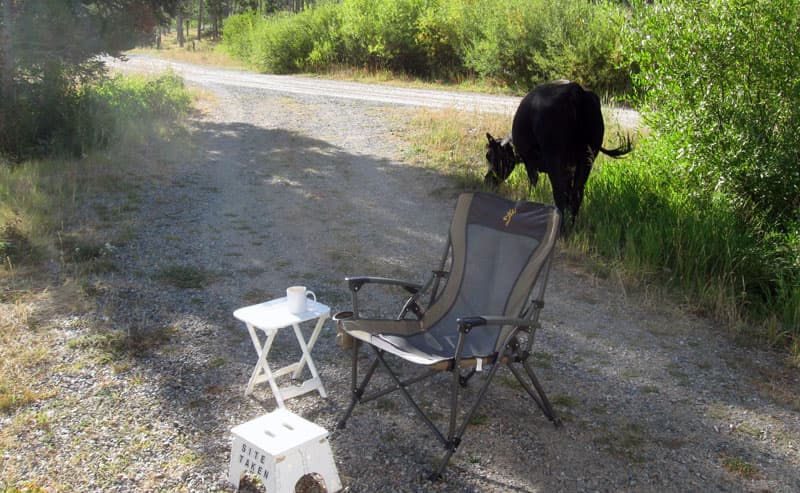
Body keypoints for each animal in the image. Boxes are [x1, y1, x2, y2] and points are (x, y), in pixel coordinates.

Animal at [488, 80, 632, 223]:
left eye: (490, 156)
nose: (487, 180)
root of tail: (574, 90)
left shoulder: (529, 161)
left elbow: (533, 182)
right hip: (587, 158)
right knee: (576, 194)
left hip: (555, 158)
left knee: (560, 193)